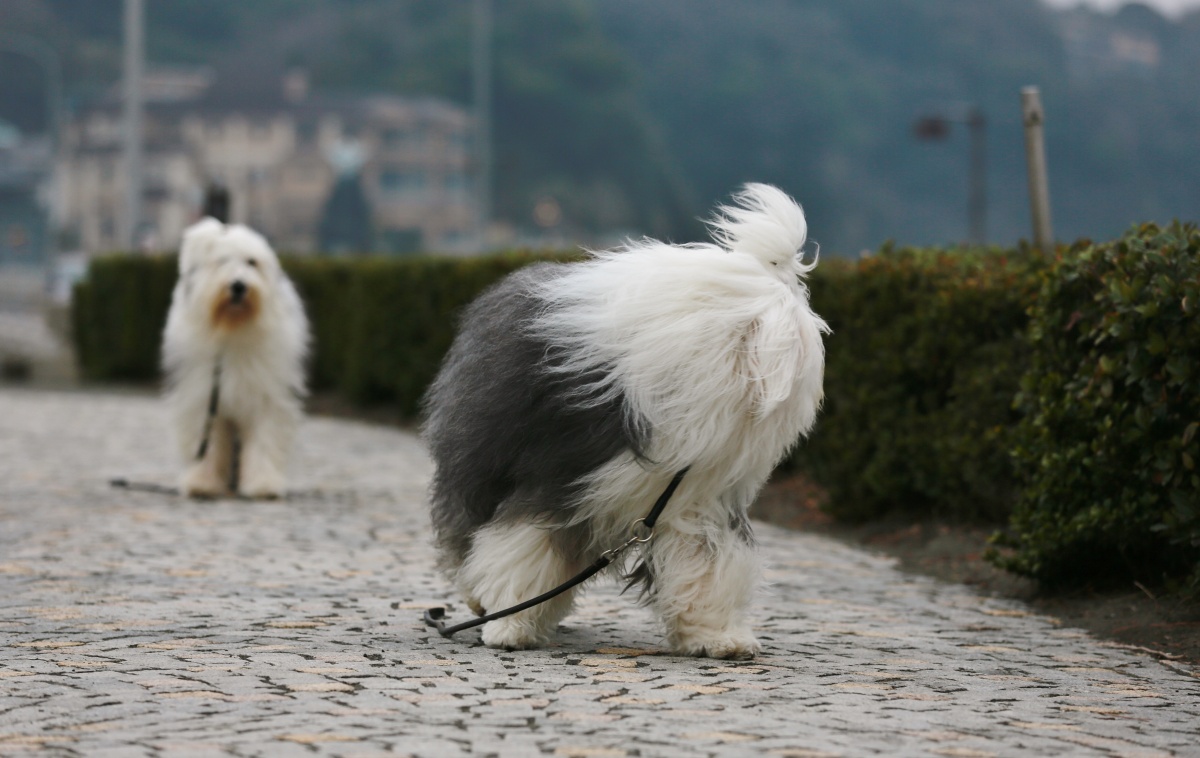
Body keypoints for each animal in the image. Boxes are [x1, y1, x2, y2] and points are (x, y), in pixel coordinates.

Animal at [161, 218, 309, 499]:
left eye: (252, 262)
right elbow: (207, 444)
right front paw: (201, 483)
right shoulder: (203, 398)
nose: (239, 285)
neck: (233, 326)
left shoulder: (266, 396)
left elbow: (264, 439)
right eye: (221, 262)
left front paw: (263, 485)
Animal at [423, 184, 828, 658]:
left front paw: (718, 637)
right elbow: (525, 545)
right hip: (482, 454)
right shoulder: (560, 475)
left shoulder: (696, 497)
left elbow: (707, 560)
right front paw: (512, 625)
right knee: (467, 524)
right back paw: (482, 601)